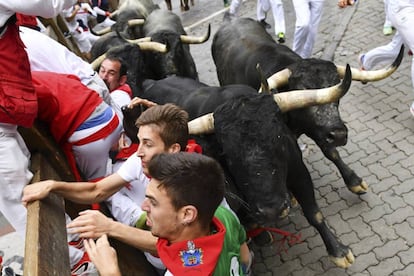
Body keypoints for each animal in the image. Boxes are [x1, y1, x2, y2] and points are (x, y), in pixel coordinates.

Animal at [121, 74, 354, 268]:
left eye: (278, 139)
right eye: (228, 153)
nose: (271, 210)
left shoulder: (298, 170)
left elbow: (314, 213)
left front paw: (339, 251)